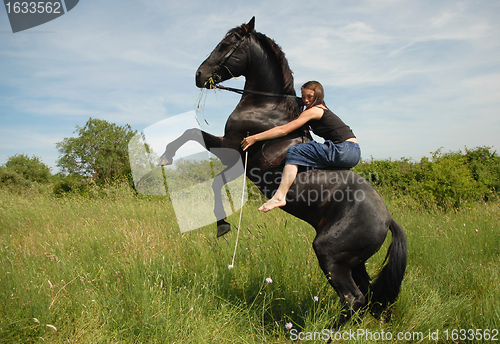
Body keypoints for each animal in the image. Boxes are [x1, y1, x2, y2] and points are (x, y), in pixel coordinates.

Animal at [159, 16, 406, 330]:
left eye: (226, 44)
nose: (199, 75)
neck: (266, 107)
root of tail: (387, 219)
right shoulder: (240, 162)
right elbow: (214, 178)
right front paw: (222, 224)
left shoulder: (233, 148)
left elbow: (193, 136)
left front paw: (167, 158)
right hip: (355, 261)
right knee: (367, 294)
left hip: (331, 255)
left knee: (354, 298)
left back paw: (318, 333)